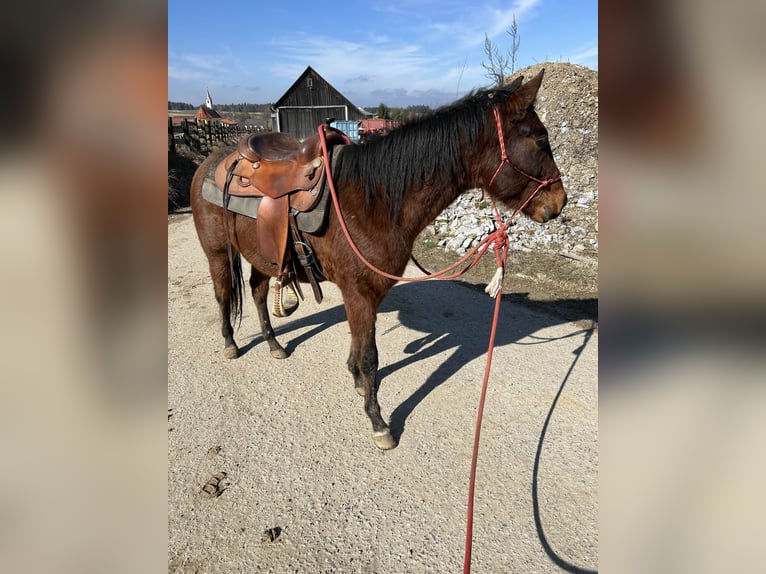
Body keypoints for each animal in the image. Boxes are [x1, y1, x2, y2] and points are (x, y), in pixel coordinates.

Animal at [189, 70, 568, 452]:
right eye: (540, 140)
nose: (559, 202)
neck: (376, 201)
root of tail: (212, 161)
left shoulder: (368, 294)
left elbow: (360, 346)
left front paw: (357, 381)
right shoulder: (359, 292)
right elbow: (370, 356)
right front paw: (377, 420)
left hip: (263, 256)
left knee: (257, 292)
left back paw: (274, 344)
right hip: (218, 253)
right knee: (224, 294)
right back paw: (231, 344)